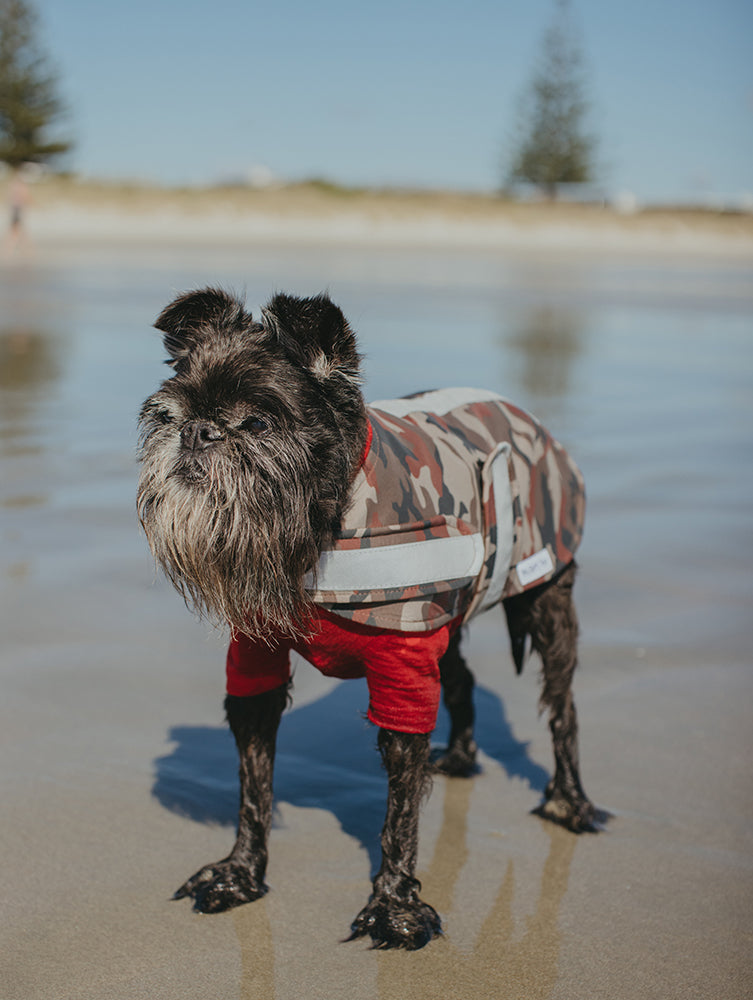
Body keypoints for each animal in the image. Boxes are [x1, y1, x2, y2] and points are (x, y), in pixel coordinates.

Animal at [137, 286, 600, 948]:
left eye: (257, 422)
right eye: (170, 414)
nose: (199, 431)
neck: (316, 530)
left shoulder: (403, 665)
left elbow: (399, 812)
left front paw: (396, 906)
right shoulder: (258, 663)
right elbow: (254, 786)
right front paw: (241, 873)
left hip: (545, 603)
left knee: (562, 709)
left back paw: (569, 802)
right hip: (441, 621)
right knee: (463, 680)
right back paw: (461, 757)